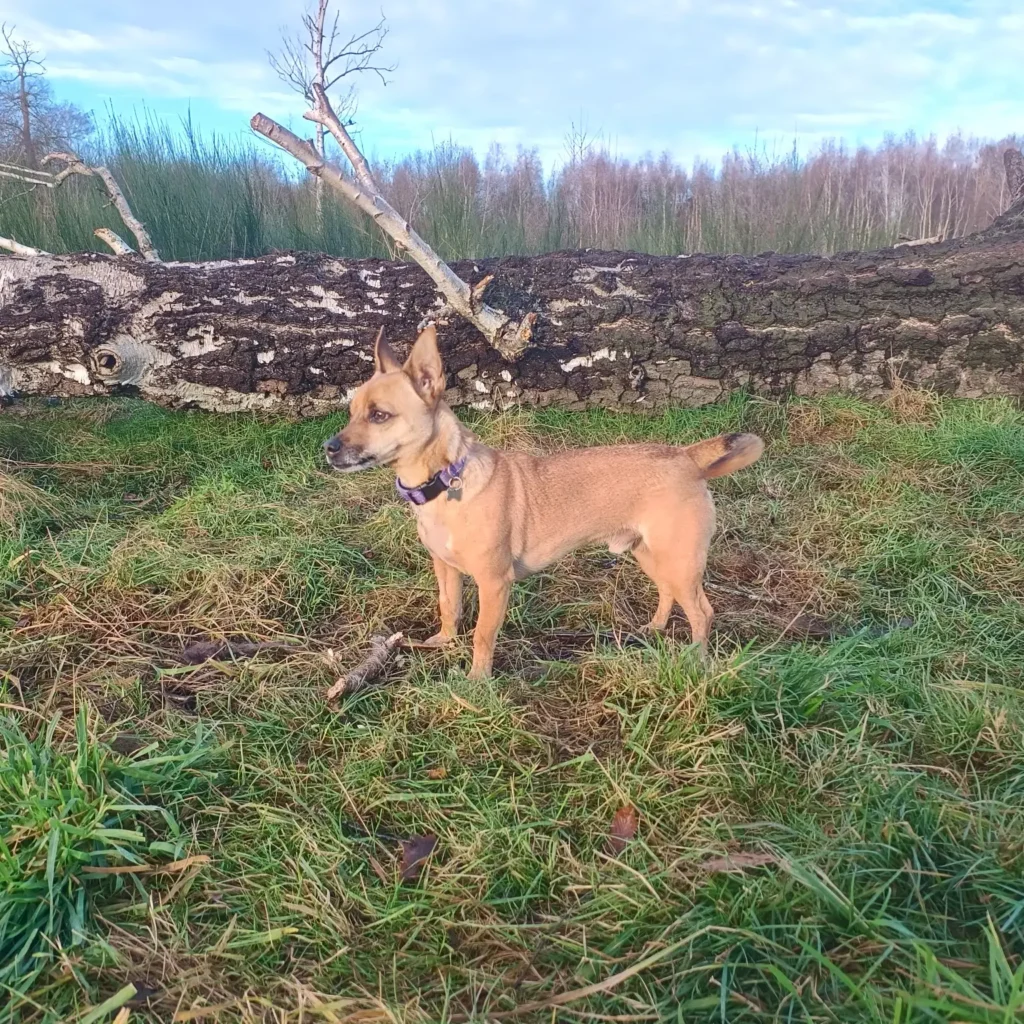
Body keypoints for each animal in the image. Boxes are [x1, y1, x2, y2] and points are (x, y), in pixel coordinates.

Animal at [323, 325, 765, 679]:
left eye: (380, 415)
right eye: (351, 412)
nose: (328, 448)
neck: (445, 483)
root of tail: (687, 457)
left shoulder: (494, 584)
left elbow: (482, 635)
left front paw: (476, 684)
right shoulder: (445, 569)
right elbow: (449, 609)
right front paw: (443, 643)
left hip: (680, 561)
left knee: (702, 613)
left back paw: (697, 662)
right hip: (651, 555)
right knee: (668, 594)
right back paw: (654, 629)